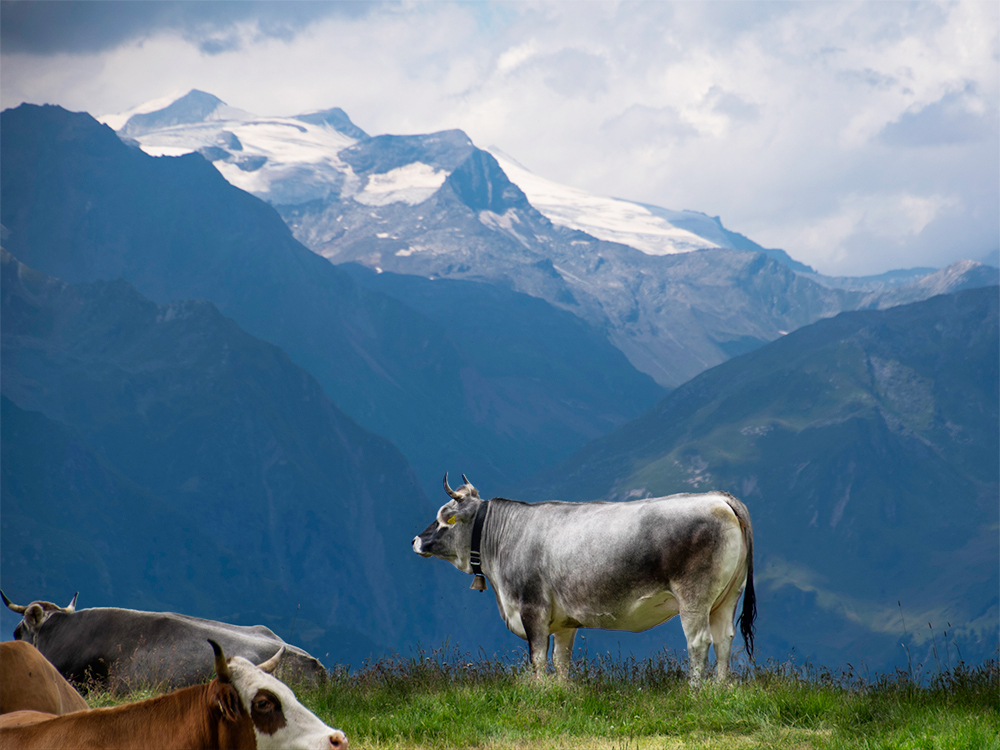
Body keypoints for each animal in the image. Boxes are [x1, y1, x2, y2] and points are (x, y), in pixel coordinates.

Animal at [410, 476, 752, 688]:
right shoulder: (564, 622)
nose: (415, 540)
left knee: (699, 641)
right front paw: (562, 690)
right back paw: (718, 688)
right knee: (724, 639)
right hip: (727, 597)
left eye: (443, 518)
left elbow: (537, 658)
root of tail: (718, 498)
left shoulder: (532, 608)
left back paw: (694, 691)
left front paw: (539, 691)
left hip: (694, 596)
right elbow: (562, 661)